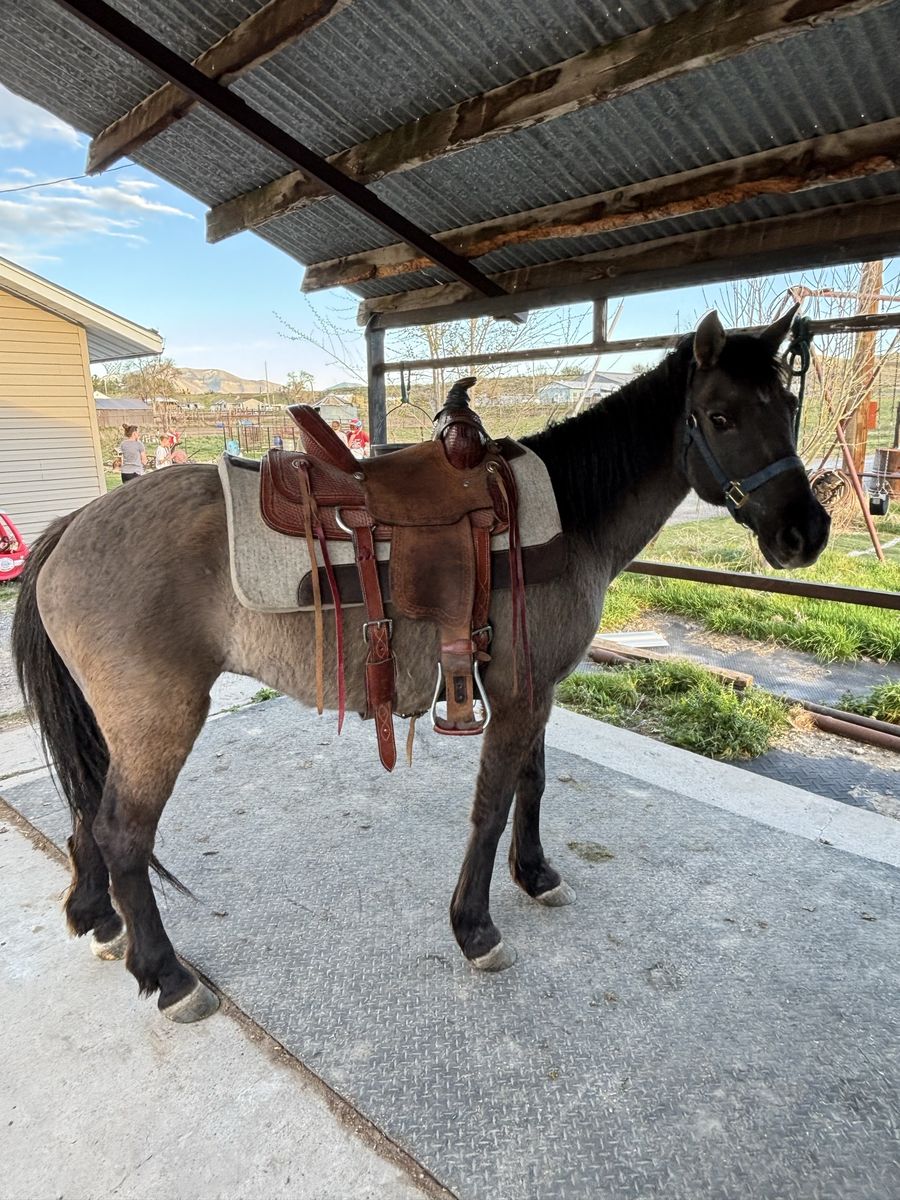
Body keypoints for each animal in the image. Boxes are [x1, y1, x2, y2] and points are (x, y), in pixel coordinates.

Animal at [12, 308, 829, 1023]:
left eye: (788, 405)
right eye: (720, 416)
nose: (807, 532)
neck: (568, 517)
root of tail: (75, 523)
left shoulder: (535, 688)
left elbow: (530, 784)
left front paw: (536, 876)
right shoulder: (519, 694)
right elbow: (492, 803)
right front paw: (475, 929)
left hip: (119, 725)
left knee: (88, 813)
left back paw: (98, 921)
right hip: (161, 719)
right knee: (123, 832)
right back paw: (170, 978)